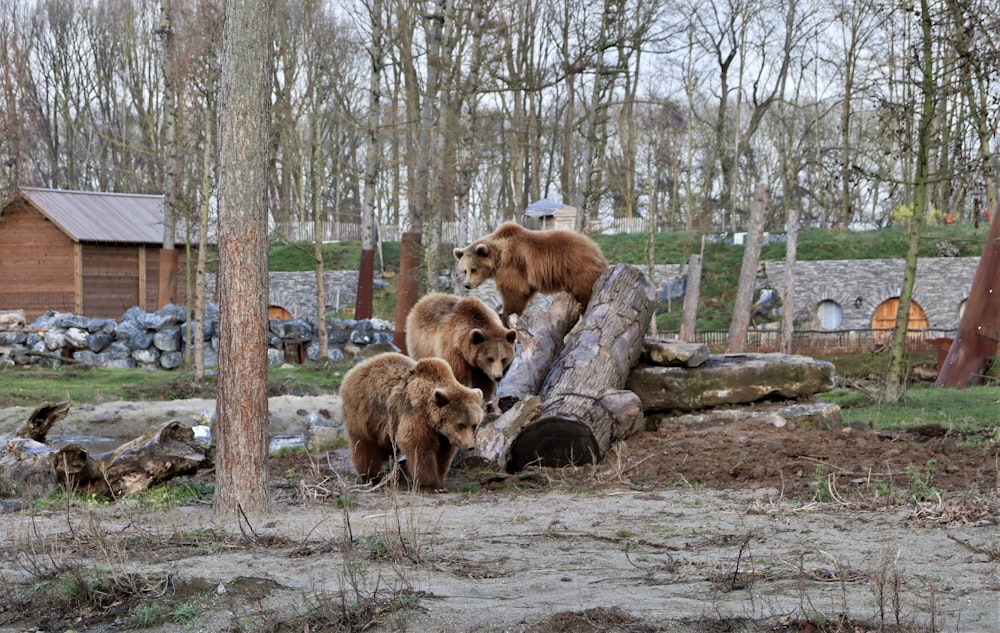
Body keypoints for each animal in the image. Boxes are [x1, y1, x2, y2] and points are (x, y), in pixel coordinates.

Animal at [340, 354, 484, 492]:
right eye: (460, 425)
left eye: (474, 425)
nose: (470, 446)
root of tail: (355, 370)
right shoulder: (416, 415)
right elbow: (418, 445)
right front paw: (431, 486)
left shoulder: (442, 434)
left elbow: (442, 454)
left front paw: (441, 483)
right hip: (364, 410)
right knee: (365, 445)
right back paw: (372, 477)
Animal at [456, 221, 608, 324]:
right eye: (465, 270)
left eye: (473, 269)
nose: (467, 285)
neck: (498, 254)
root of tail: (597, 250)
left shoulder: (512, 263)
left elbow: (514, 291)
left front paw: (505, 315)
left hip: (579, 270)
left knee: (585, 293)